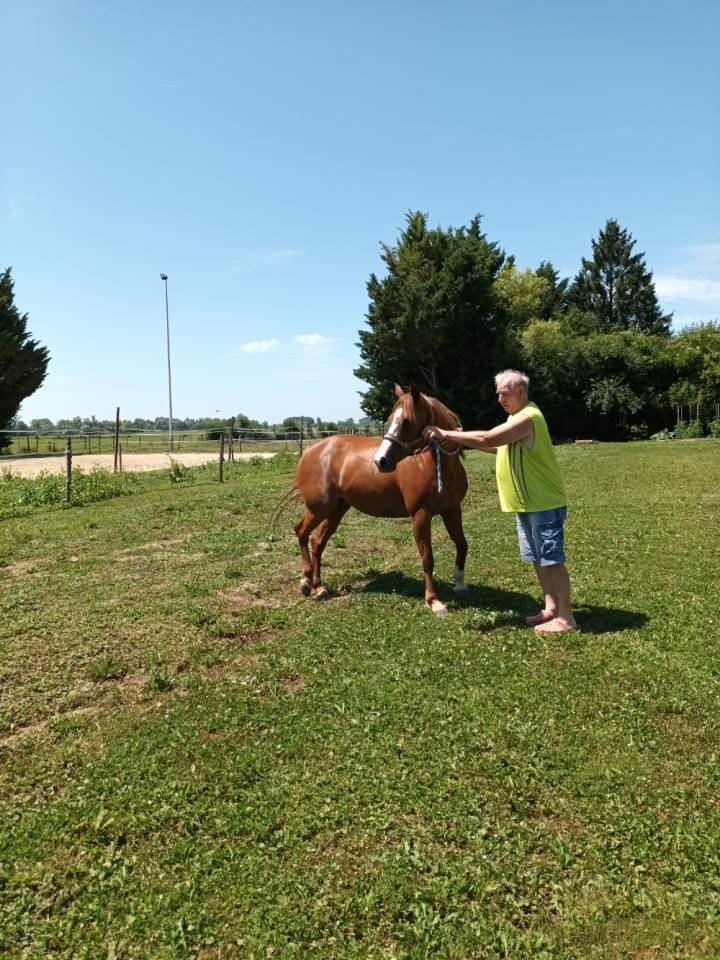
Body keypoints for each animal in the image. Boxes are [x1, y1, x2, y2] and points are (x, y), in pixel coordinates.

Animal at [294, 384, 469, 616]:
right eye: (389, 419)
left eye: (407, 422)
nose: (380, 461)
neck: (434, 465)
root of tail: (310, 451)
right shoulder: (420, 515)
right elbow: (427, 558)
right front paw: (433, 601)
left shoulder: (452, 509)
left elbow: (462, 544)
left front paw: (459, 584)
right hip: (319, 508)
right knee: (301, 533)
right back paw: (306, 581)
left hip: (337, 509)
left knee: (318, 541)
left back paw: (319, 587)